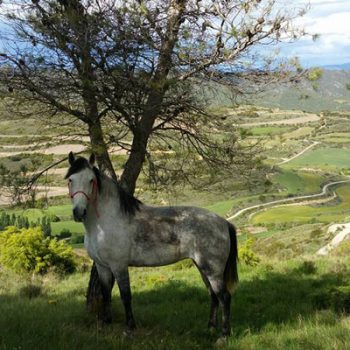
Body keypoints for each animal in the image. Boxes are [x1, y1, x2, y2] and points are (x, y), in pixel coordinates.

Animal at [65, 151, 239, 336]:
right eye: (70, 180)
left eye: (91, 180)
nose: (79, 212)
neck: (106, 222)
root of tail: (223, 222)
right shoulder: (102, 266)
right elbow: (106, 294)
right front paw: (106, 323)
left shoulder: (119, 265)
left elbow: (126, 296)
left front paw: (130, 329)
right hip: (201, 266)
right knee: (213, 294)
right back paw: (210, 328)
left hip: (212, 269)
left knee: (224, 296)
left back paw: (224, 334)